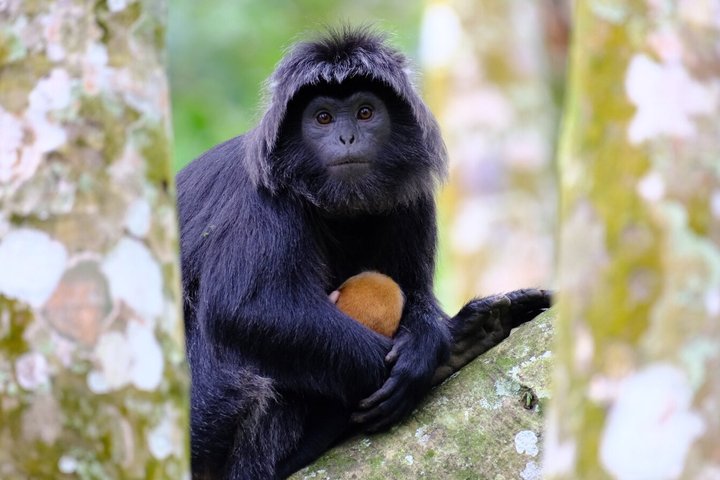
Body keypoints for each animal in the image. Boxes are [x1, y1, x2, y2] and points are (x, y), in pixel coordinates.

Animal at [176, 27, 551, 479]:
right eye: (323, 118)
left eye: (365, 113)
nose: (347, 137)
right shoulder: (261, 197)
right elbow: (243, 311)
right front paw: (413, 367)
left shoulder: (411, 198)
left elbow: (414, 291)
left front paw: (427, 345)